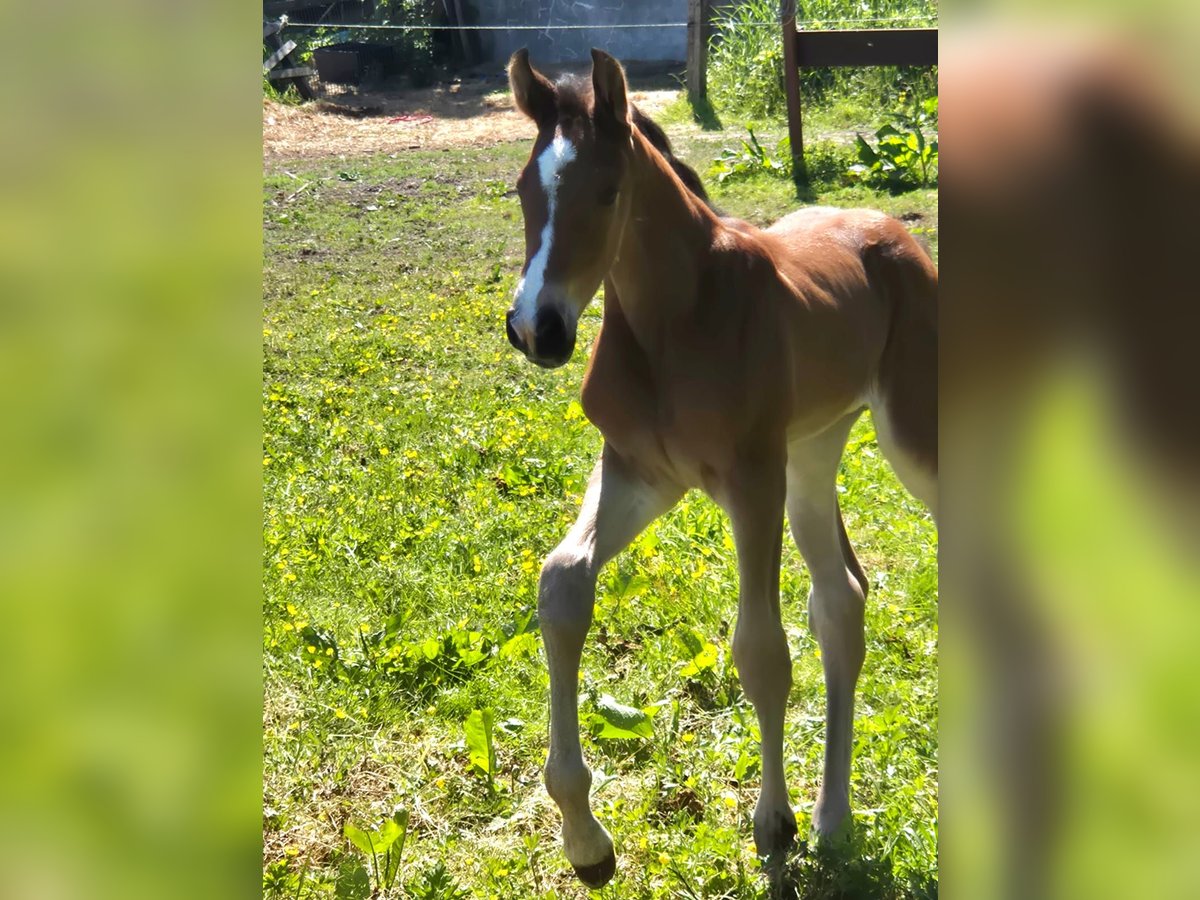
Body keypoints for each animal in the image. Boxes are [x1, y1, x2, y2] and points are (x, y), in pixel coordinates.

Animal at [503, 48, 938, 888]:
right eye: (523, 190)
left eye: (608, 191)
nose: (538, 328)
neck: (672, 321)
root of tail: (888, 228)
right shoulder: (640, 470)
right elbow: (563, 584)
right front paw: (586, 842)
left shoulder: (750, 477)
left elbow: (761, 649)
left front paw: (774, 827)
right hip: (813, 455)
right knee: (843, 597)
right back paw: (836, 819)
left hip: (908, 436)